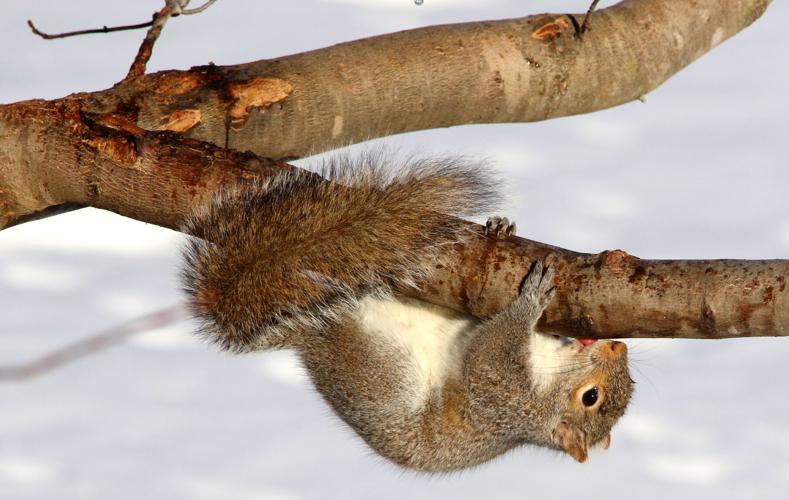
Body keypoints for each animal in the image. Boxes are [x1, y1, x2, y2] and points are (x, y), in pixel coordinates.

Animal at [181, 152, 633, 471]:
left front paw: (531, 299)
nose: (619, 347)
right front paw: (503, 229)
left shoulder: (503, 396)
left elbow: (487, 355)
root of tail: (311, 336)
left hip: (383, 365)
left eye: (591, 398)